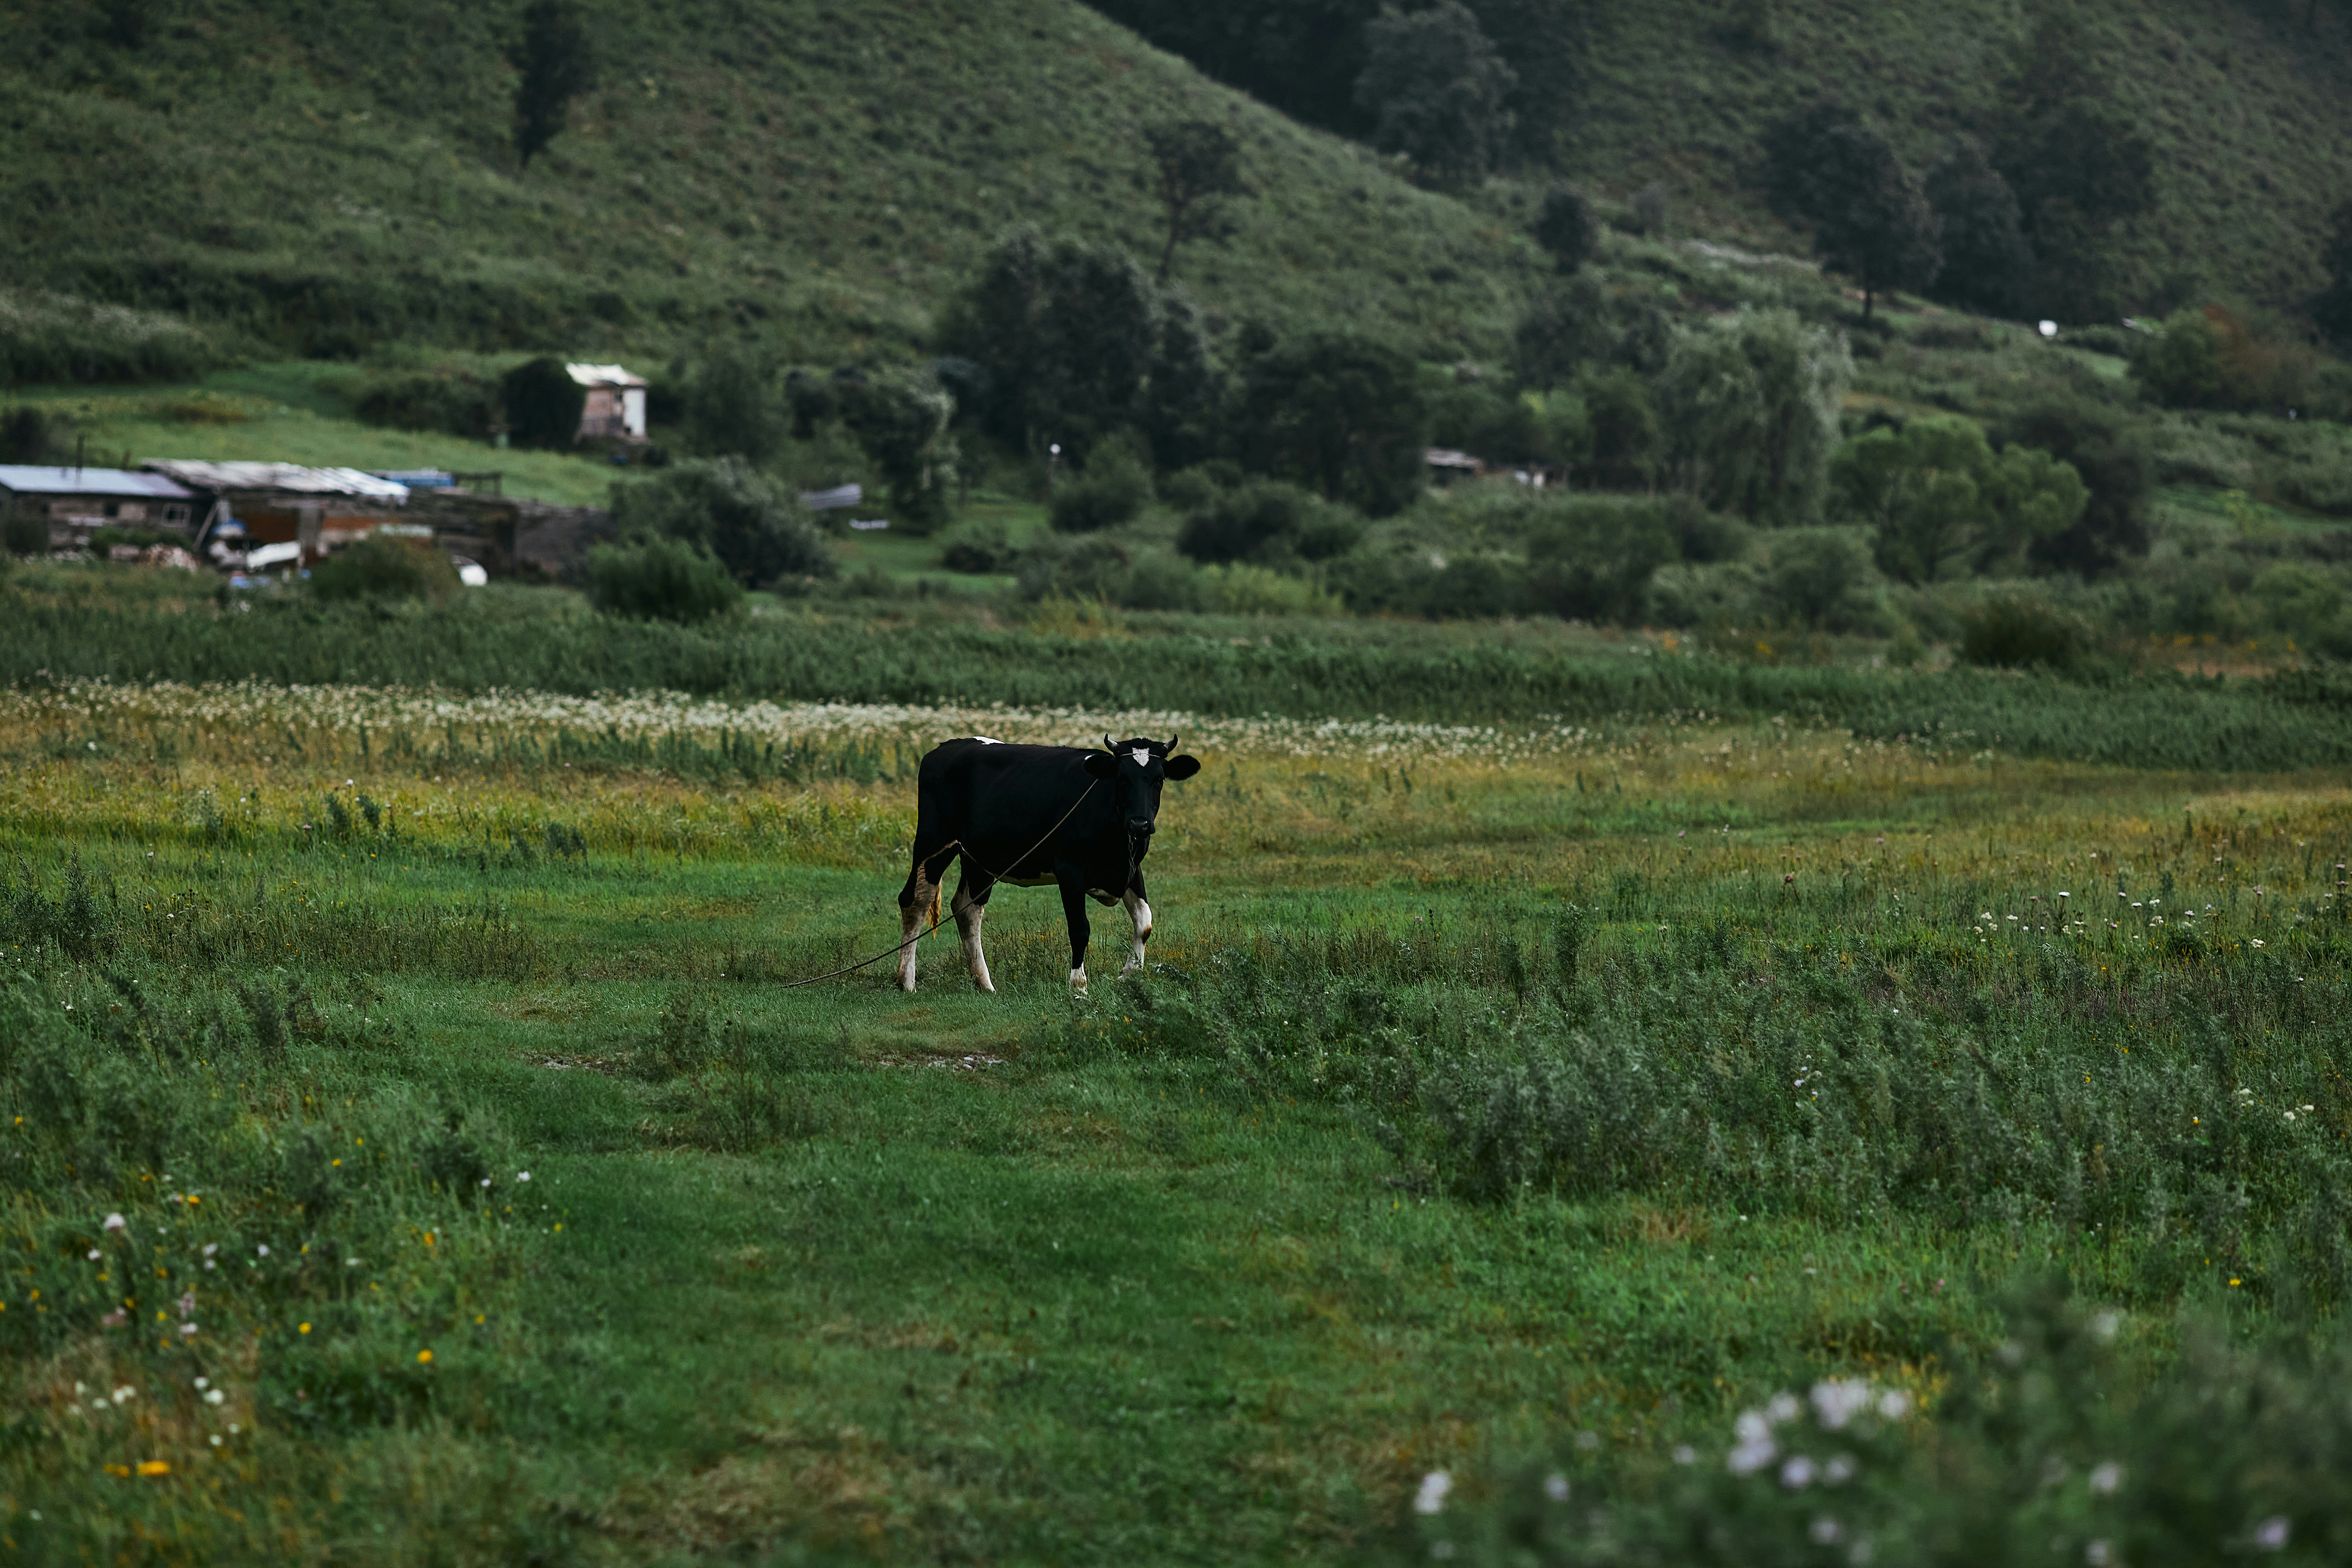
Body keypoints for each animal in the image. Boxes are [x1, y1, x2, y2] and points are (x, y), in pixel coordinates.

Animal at [894, 729, 1204, 987]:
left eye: (1159, 780)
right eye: (1122, 779)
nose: (1140, 823)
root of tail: (946, 747)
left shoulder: (1130, 870)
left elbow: (1145, 923)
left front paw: (1128, 975)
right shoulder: (1070, 872)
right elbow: (1080, 930)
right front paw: (1079, 988)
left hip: (979, 858)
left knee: (967, 909)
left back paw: (985, 984)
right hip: (934, 843)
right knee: (915, 901)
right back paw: (907, 981)